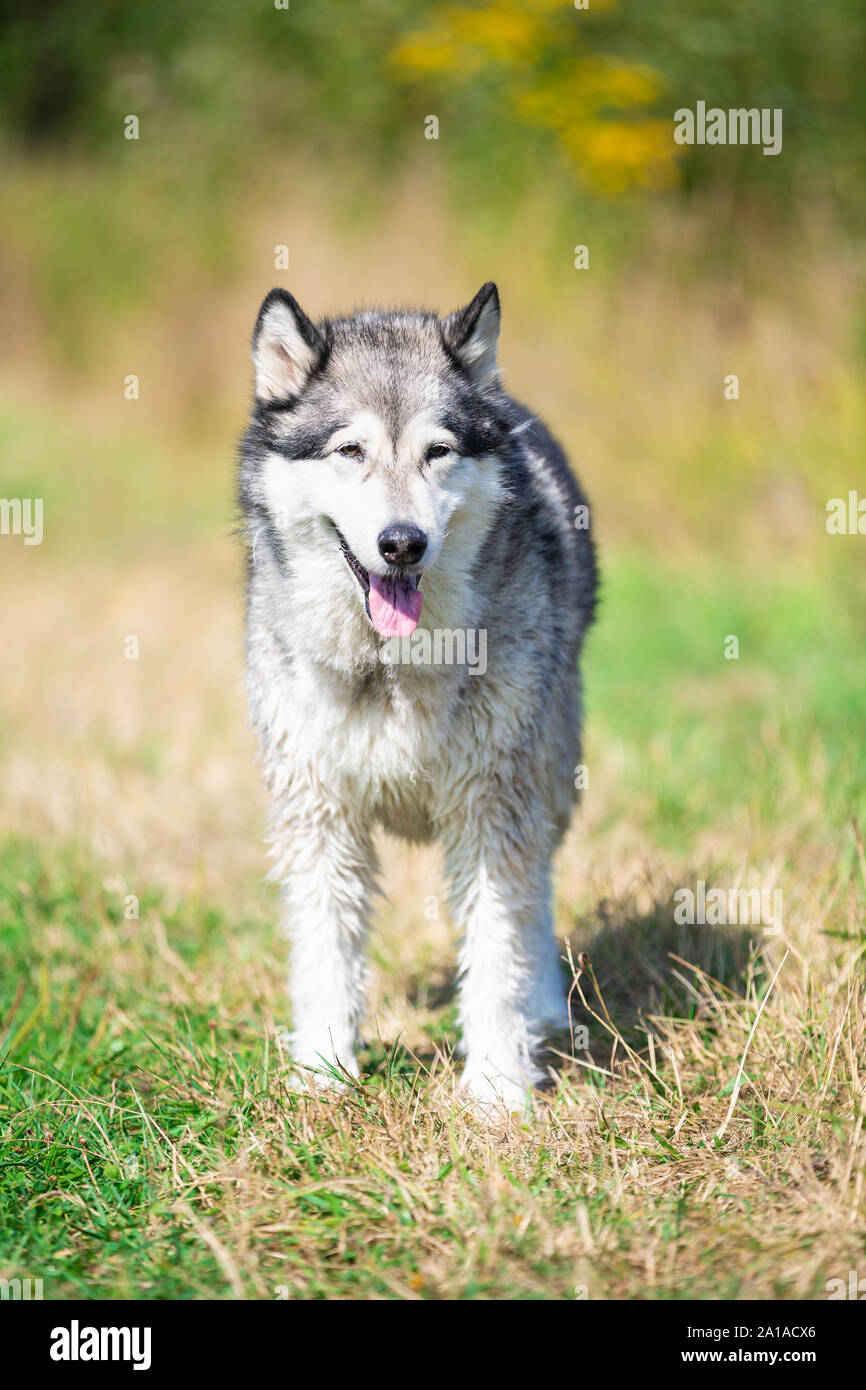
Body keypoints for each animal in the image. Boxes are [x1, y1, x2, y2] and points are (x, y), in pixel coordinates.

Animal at [240, 279, 600, 1106]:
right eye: (350, 451)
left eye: (438, 451)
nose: (402, 543)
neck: (391, 671)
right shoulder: (319, 811)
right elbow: (326, 955)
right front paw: (323, 1076)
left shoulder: (490, 805)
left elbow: (498, 947)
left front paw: (499, 1092)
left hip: (548, 772)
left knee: (538, 890)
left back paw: (544, 1010)